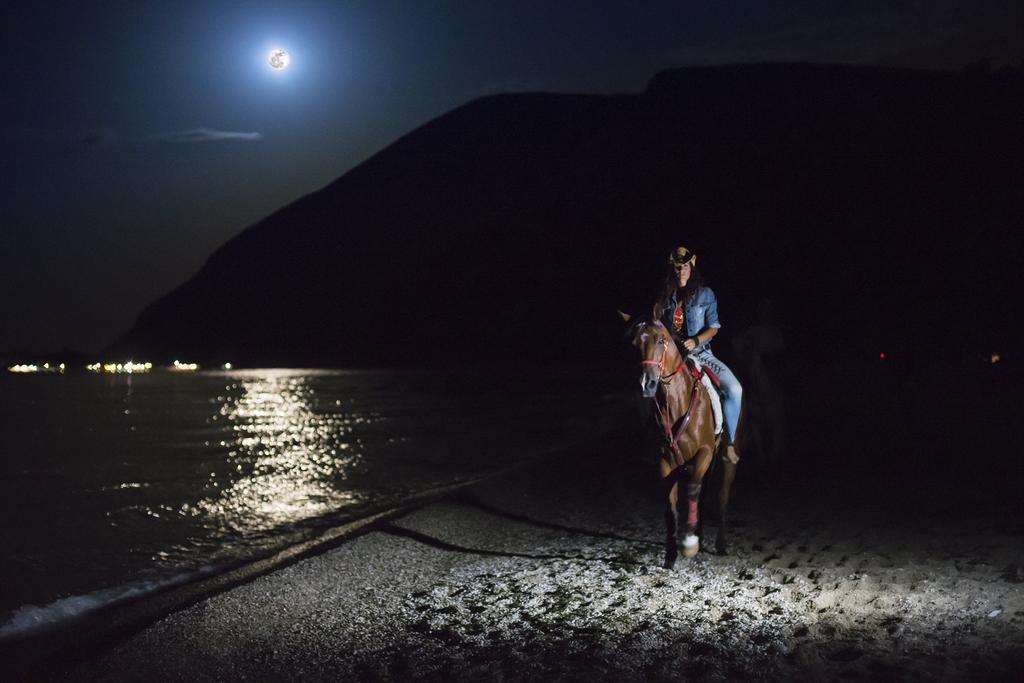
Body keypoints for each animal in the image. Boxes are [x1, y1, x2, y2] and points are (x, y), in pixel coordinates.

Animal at [618, 317, 741, 573]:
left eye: (660, 340)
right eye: (634, 344)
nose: (647, 383)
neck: (676, 402)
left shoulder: (704, 452)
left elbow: (692, 488)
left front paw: (689, 543)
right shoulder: (665, 462)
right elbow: (670, 505)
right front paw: (671, 554)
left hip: (727, 459)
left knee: (722, 496)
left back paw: (719, 543)